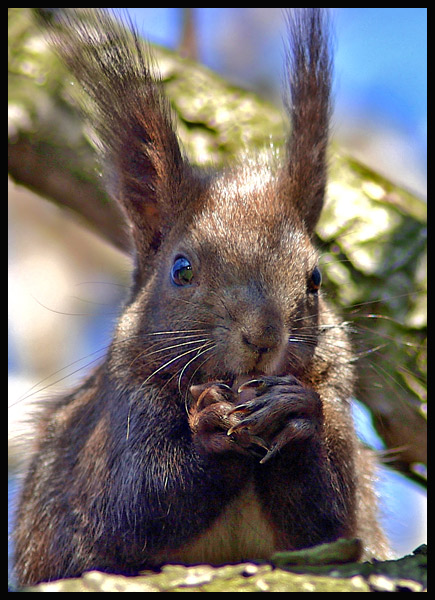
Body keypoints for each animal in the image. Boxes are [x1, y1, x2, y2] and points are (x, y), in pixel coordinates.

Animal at [13, 8, 390, 584]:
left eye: (316, 278)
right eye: (181, 269)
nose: (263, 337)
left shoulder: (339, 414)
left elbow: (332, 520)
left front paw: (295, 410)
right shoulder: (117, 427)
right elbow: (135, 508)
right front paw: (209, 425)